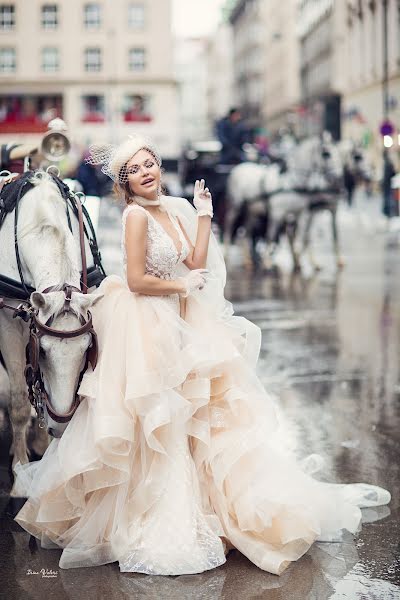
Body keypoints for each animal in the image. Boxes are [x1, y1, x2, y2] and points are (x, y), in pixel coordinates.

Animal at [0, 171, 102, 480]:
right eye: (42, 351)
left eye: (87, 349)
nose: (61, 428)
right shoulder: (9, 323)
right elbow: (19, 401)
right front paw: (20, 469)